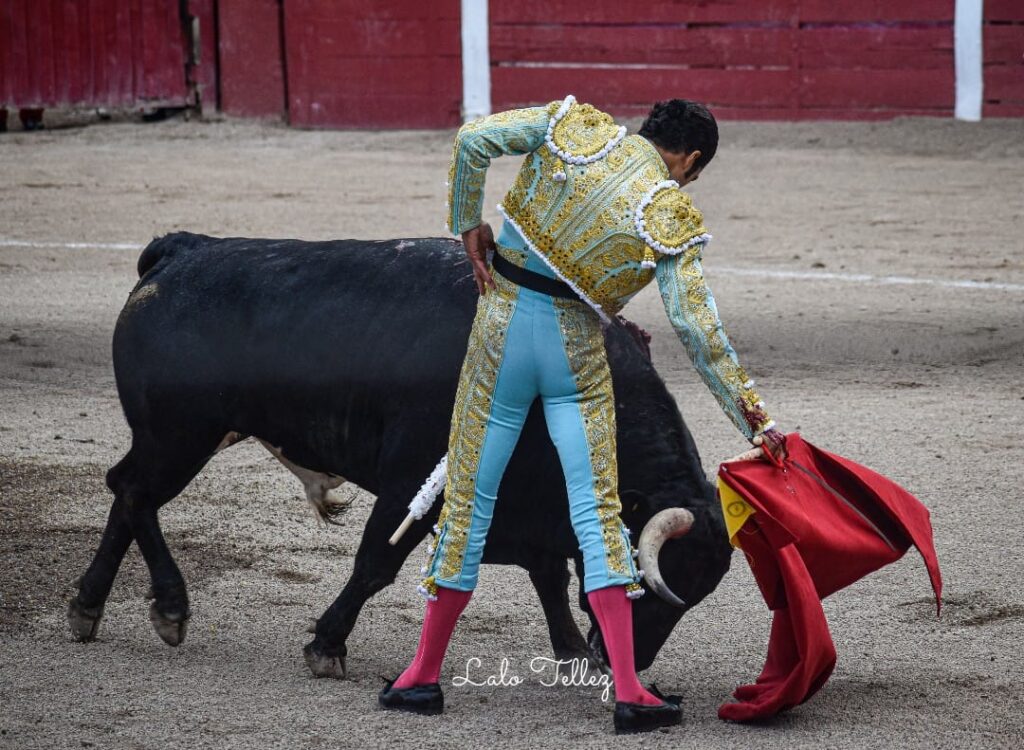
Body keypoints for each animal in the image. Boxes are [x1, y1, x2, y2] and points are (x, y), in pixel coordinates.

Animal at [68, 231, 733, 676]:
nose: (633, 661)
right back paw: (170, 606)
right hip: (180, 436)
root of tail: (180, 250)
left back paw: (88, 607)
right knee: (133, 491)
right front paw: (326, 646)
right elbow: (376, 564)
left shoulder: (530, 501)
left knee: (125, 493)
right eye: (649, 583)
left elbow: (549, 571)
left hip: (176, 438)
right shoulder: (412, 483)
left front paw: (569, 648)